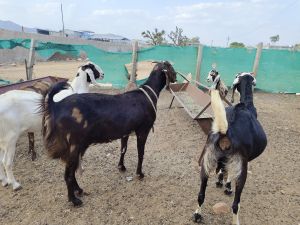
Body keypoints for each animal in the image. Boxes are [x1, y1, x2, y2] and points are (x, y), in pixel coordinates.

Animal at [0, 61, 104, 190]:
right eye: (93, 67)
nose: (103, 74)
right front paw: (78, 169)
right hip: (10, 138)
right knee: (6, 162)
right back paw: (14, 184)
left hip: (2, 138)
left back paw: (4, 181)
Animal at [39, 60, 176, 207]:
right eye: (171, 67)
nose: (176, 78)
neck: (148, 94)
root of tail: (56, 105)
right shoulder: (143, 130)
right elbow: (141, 153)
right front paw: (140, 174)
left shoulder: (125, 132)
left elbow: (123, 149)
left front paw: (121, 167)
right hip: (74, 143)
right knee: (68, 174)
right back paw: (74, 200)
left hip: (78, 145)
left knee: (72, 169)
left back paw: (79, 190)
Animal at [192, 73, 268, 224]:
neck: (247, 105)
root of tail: (225, 132)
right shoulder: (241, 161)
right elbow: (230, 175)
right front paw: (227, 186)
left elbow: (223, 169)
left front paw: (220, 181)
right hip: (241, 169)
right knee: (235, 204)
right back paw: (235, 221)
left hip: (207, 161)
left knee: (201, 194)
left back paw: (197, 214)